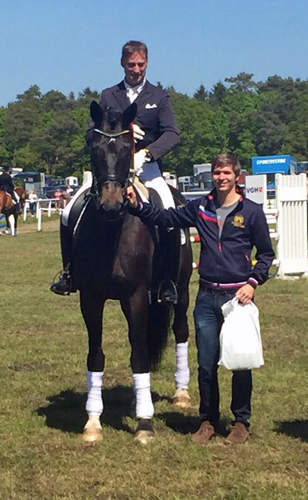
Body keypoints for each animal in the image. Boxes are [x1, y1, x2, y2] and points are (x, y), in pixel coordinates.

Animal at [71, 100, 192, 442]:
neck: (113, 232)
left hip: (180, 290)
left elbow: (139, 356)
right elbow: (95, 355)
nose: (112, 205)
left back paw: (181, 393)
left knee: (180, 331)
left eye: (128, 148)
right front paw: (93, 423)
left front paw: (144, 423)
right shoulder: (91, 298)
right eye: (94, 146)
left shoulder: (137, 296)